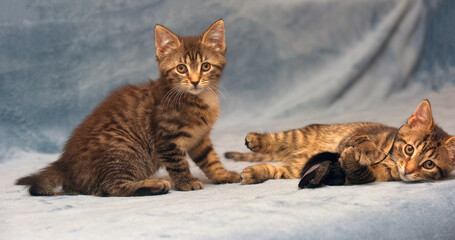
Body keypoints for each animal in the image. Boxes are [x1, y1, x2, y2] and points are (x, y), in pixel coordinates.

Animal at [16, 19, 240, 197]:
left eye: (205, 66)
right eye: (181, 68)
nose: (194, 81)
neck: (199, 99)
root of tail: (64, 164)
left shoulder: (200, 138)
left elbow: (210, 158)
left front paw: (223, 174)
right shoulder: (167, 138)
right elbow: (178, 163)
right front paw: (186, 182)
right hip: (123, 151)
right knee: (110, 188)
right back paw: (155, 185)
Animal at [227, 100, 455, 185]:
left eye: (428, 164)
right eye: (409, 149)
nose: (408, 169)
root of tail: (300, 154)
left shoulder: (372, 176)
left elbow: (361, 174)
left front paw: (352, 161)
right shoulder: (356, 133)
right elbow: (363, 139)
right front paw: (368, 150)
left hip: (297, 168)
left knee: (278, 170)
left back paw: (255, 173)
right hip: (303, 134)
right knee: (280, 138)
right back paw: (256, 139)